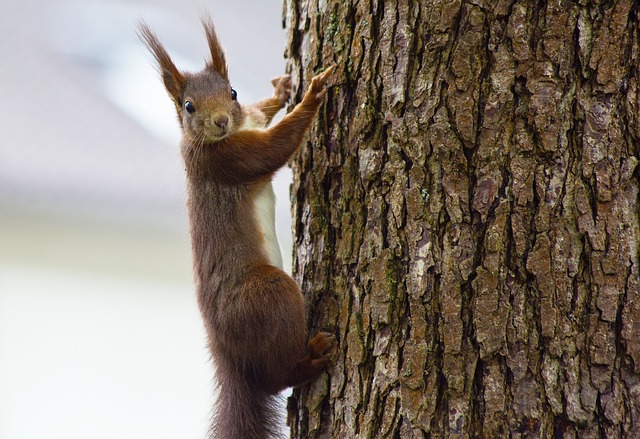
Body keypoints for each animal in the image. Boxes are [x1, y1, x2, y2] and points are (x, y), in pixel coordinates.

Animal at [137, 16, 332, 439]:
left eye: (233, 91)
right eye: (188, 106)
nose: (221, 121)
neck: (228, 135)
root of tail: (225, 354)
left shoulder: (248, 122)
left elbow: (262, 113)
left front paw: (283, 89)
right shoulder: (230, 160)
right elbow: (276, 147)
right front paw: (313, 94)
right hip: (268, 294)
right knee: (274, 378)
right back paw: (309, 360)